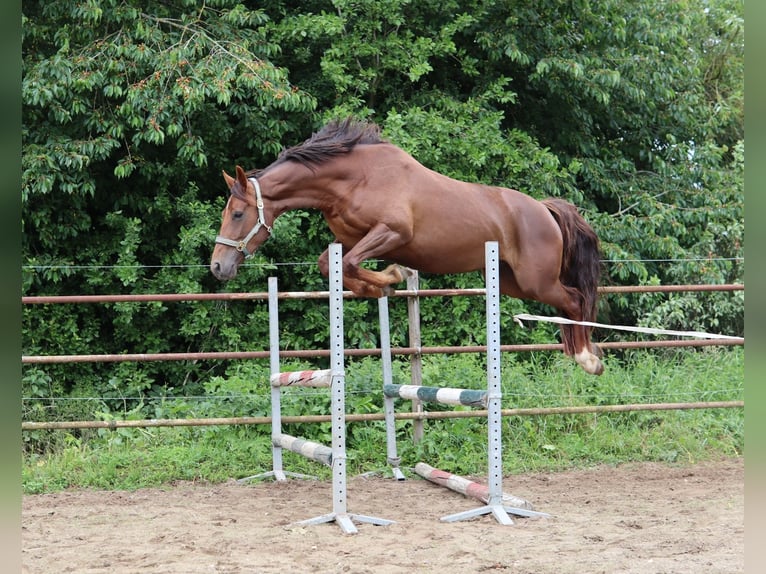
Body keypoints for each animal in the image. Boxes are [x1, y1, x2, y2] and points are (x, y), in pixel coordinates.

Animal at [210, 118, 604, 375]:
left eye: (238, 213)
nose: (218, 267)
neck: (352, 179)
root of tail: (545, 210)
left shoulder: (392, 233)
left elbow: (351, 264)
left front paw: (390, 277)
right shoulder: (349, 239)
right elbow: (332, 264)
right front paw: (378, 288)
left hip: (536, 281)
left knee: (575, 299)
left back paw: (588, 358)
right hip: (513, 282)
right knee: (567, 303)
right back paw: (578, 353)